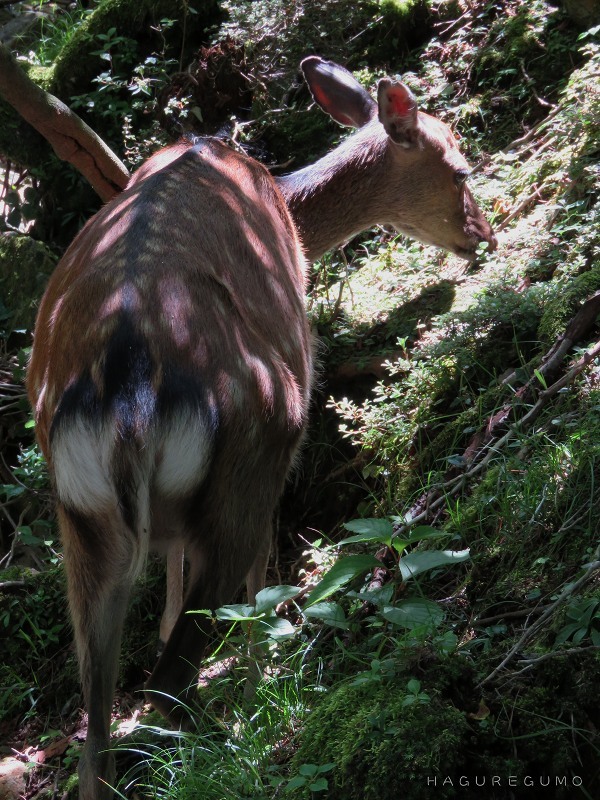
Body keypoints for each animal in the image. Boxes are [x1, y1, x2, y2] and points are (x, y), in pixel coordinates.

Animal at [25, 56, 494, 800]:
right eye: (460, 168)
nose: (484, 235)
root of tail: (128, 391)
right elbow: (259, 595)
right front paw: (263, 692)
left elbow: (170, 606)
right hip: (258, 439)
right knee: (183, 664)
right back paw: (243, 733)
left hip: (84, 519)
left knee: (97, 735)